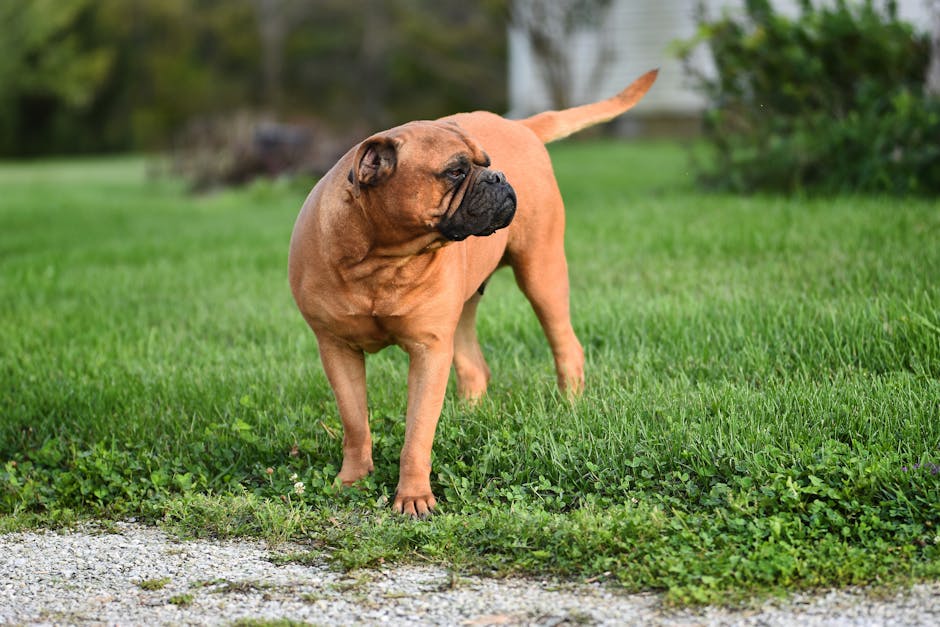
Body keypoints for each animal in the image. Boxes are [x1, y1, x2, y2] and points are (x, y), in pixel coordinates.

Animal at [290, 71, 656, 516]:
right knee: (473, 366)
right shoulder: (337, 348)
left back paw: (569, 406)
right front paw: (352, 480)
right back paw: (468, 418)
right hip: (465, 309)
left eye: (486, 164)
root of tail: (521, 126)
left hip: (542, 273)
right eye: (455, 171)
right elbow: (355, 422)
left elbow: (417, 434)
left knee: (566, 345)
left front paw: (413, 496)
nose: (498, 177)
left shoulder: (429, 350)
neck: (381, 258)